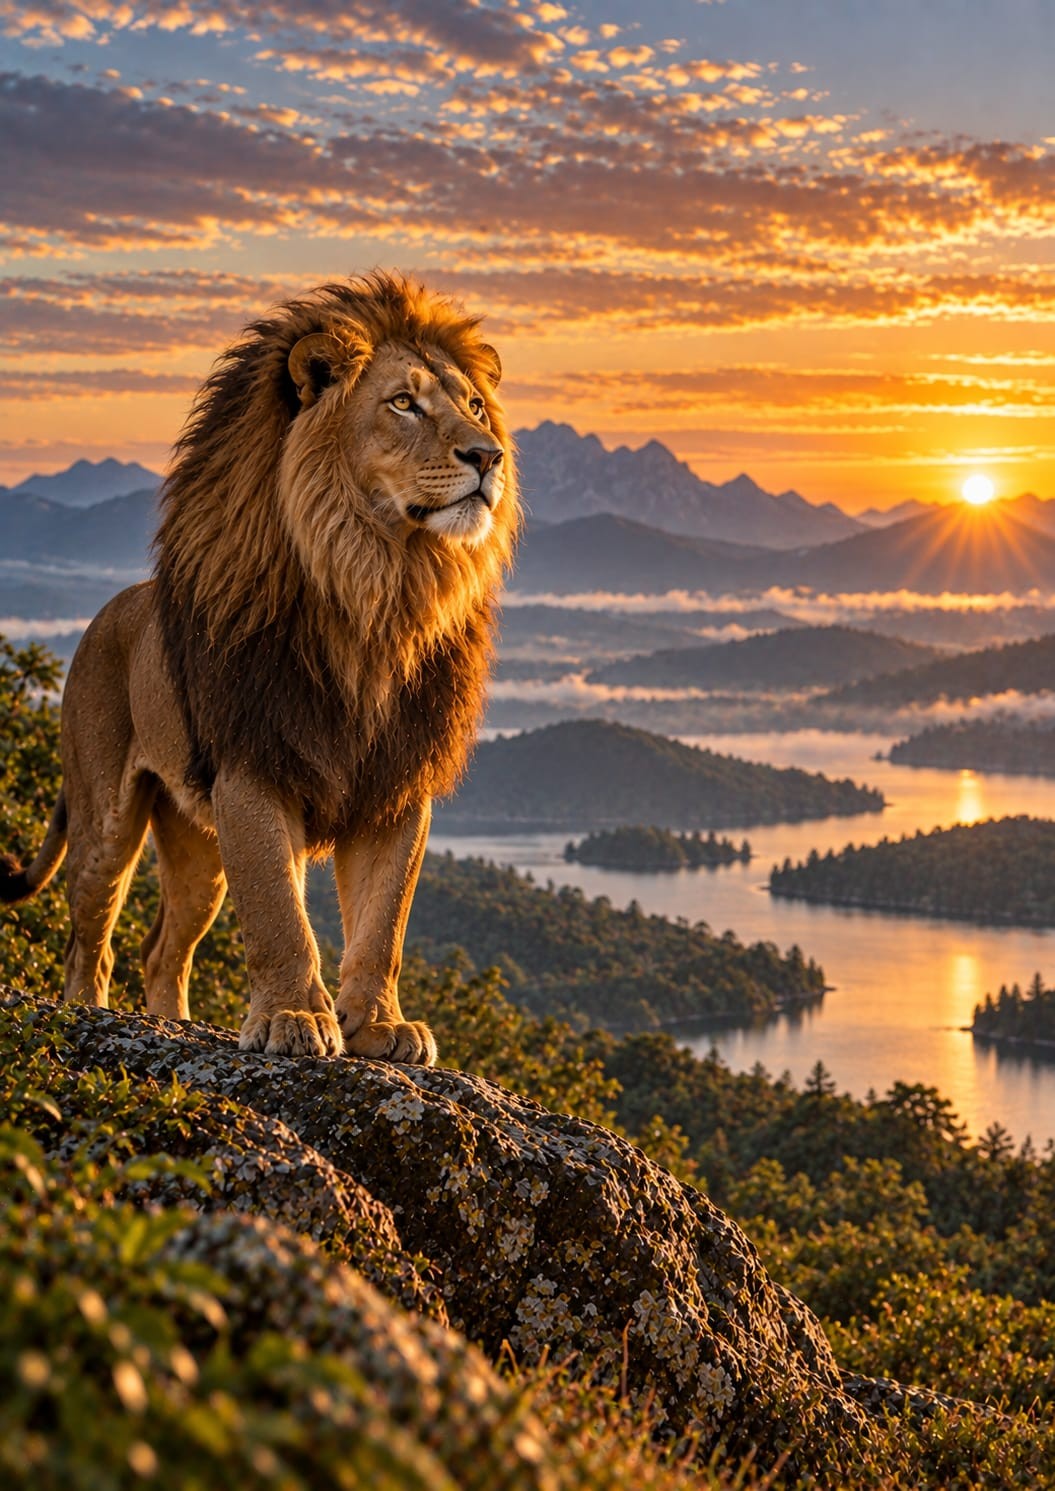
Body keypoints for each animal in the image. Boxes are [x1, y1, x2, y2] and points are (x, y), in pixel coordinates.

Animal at [0, 272, 518, 1063]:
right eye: (403, 403)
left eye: (476, 407)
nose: (487, 457)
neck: (379, 590)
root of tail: (106, 612)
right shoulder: (252, 766)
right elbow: (279, 915)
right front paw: (294, 1018)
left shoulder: (398, 783)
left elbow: (383, 923)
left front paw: (382, 1026)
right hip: (106, 819)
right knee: (93, 934)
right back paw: (90, 1013)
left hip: (200, 846)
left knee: (163, 949)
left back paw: (177, 1026)